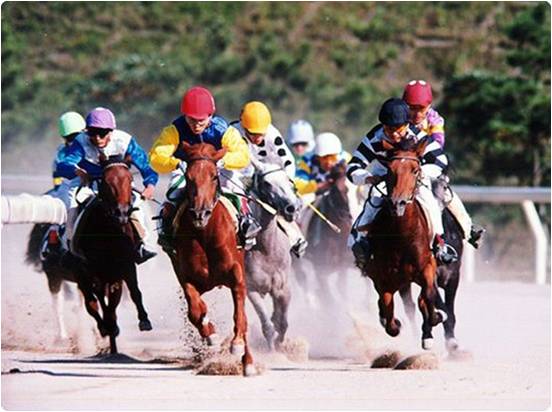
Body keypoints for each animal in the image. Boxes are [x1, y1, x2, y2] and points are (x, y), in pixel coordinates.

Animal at [66, 155, 152, 354]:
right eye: (106, 181)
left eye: (129, 179)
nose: (121, 213)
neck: (109, 233)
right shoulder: (92, 271)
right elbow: (97, 301)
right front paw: (107, 327)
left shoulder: (125, 267)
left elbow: (134, 292)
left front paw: (144, 320)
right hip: (83, 275)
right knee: (92, 303)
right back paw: (106, 328)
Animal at [171, 142, 256, 376]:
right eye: (188, 177)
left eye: (214, 176)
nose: (201, 214)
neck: (205, 234)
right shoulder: (187, 276)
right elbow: (195, 310)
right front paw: (211, 334)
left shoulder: (237, 274)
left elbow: (241, 315)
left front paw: (237, 345)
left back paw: (248, 361)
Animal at [244, 161, 300, 350]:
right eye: (267, 183)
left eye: (289, 180)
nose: (292, 208)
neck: (266, 249)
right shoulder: (251, 289)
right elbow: (268, 325)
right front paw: (272, 350)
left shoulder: (283, 288)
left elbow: (282, 323)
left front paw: (279, 343)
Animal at [362, 140, 444, 350]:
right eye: (390, 170)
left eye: (415, 170)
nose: (397, 203)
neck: (402, 236)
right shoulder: (383, 278)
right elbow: (389, 317)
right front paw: (394, 324)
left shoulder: (428, 267)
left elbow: (428, 297)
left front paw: (434, 321)